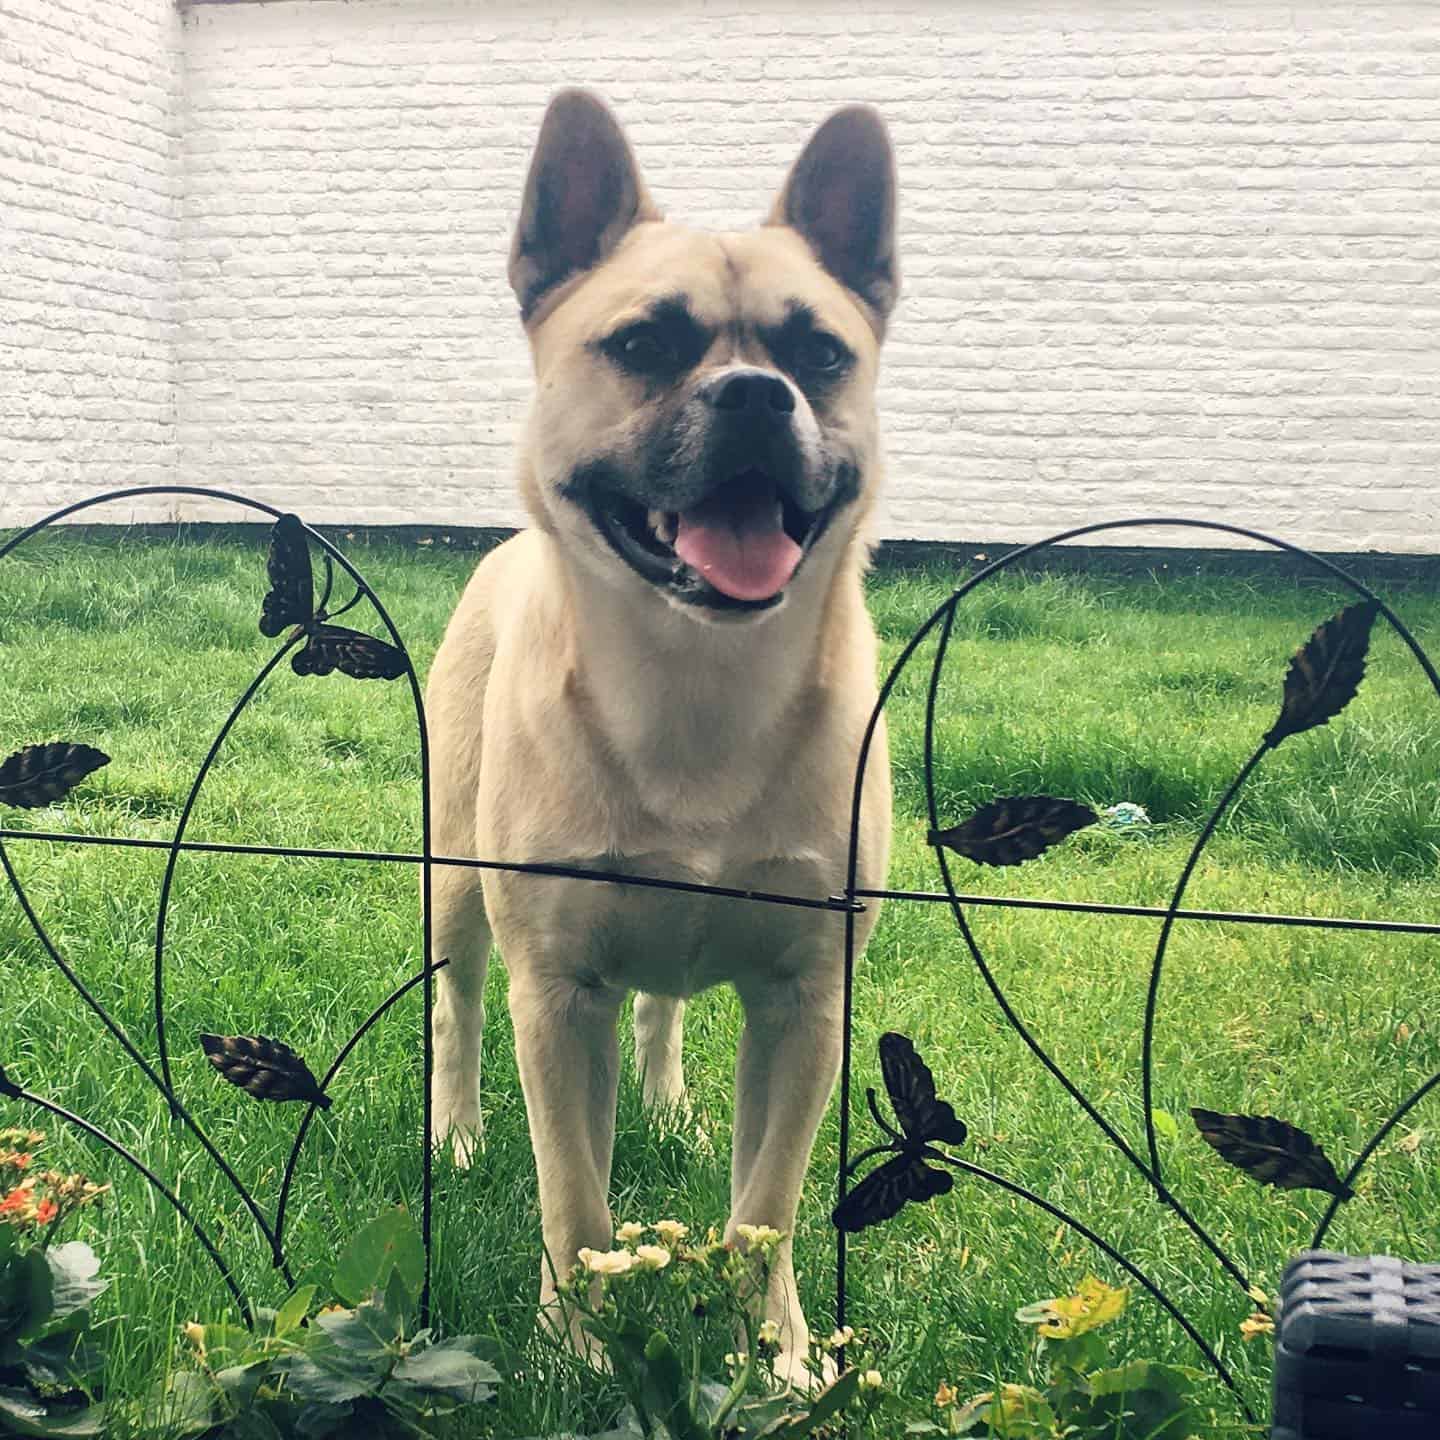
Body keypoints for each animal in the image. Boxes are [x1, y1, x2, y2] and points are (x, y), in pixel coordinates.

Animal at [426, 90, 892, 1382]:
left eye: (821, 356)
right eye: (642, 346)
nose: (754, 395)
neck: (697, 674)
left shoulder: (805, 1001)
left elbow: (765, 1207)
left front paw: (776, 1357)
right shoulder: (555, 995)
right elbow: (574, 1198)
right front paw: (579, 1351)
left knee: (666, 1008)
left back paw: (674, 1105)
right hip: (455, 886)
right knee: (455, 1012)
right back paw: (456, 1135)